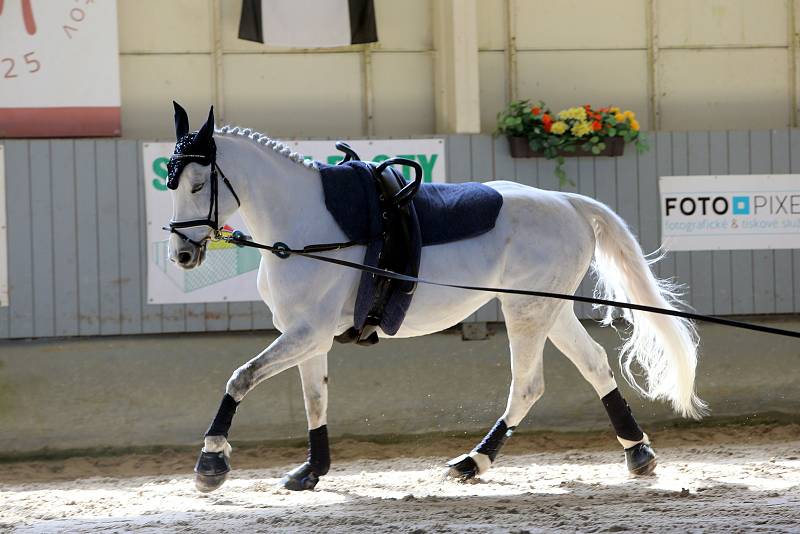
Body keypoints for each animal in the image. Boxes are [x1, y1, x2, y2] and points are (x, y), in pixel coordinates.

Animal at [166, 103, 704, 494]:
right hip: (549, 308)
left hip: (526, 311)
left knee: (528, 385)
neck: (308, 225)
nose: (182, 254)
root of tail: (567, 203)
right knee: (593, 364)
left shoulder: (308, 332)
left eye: (199, 183)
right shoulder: (307, 336)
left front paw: (211, 464)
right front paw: (311, 471)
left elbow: (241, 377)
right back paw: (637, 453)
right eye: (171, 184)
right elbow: (314, 400)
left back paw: (473, 462)